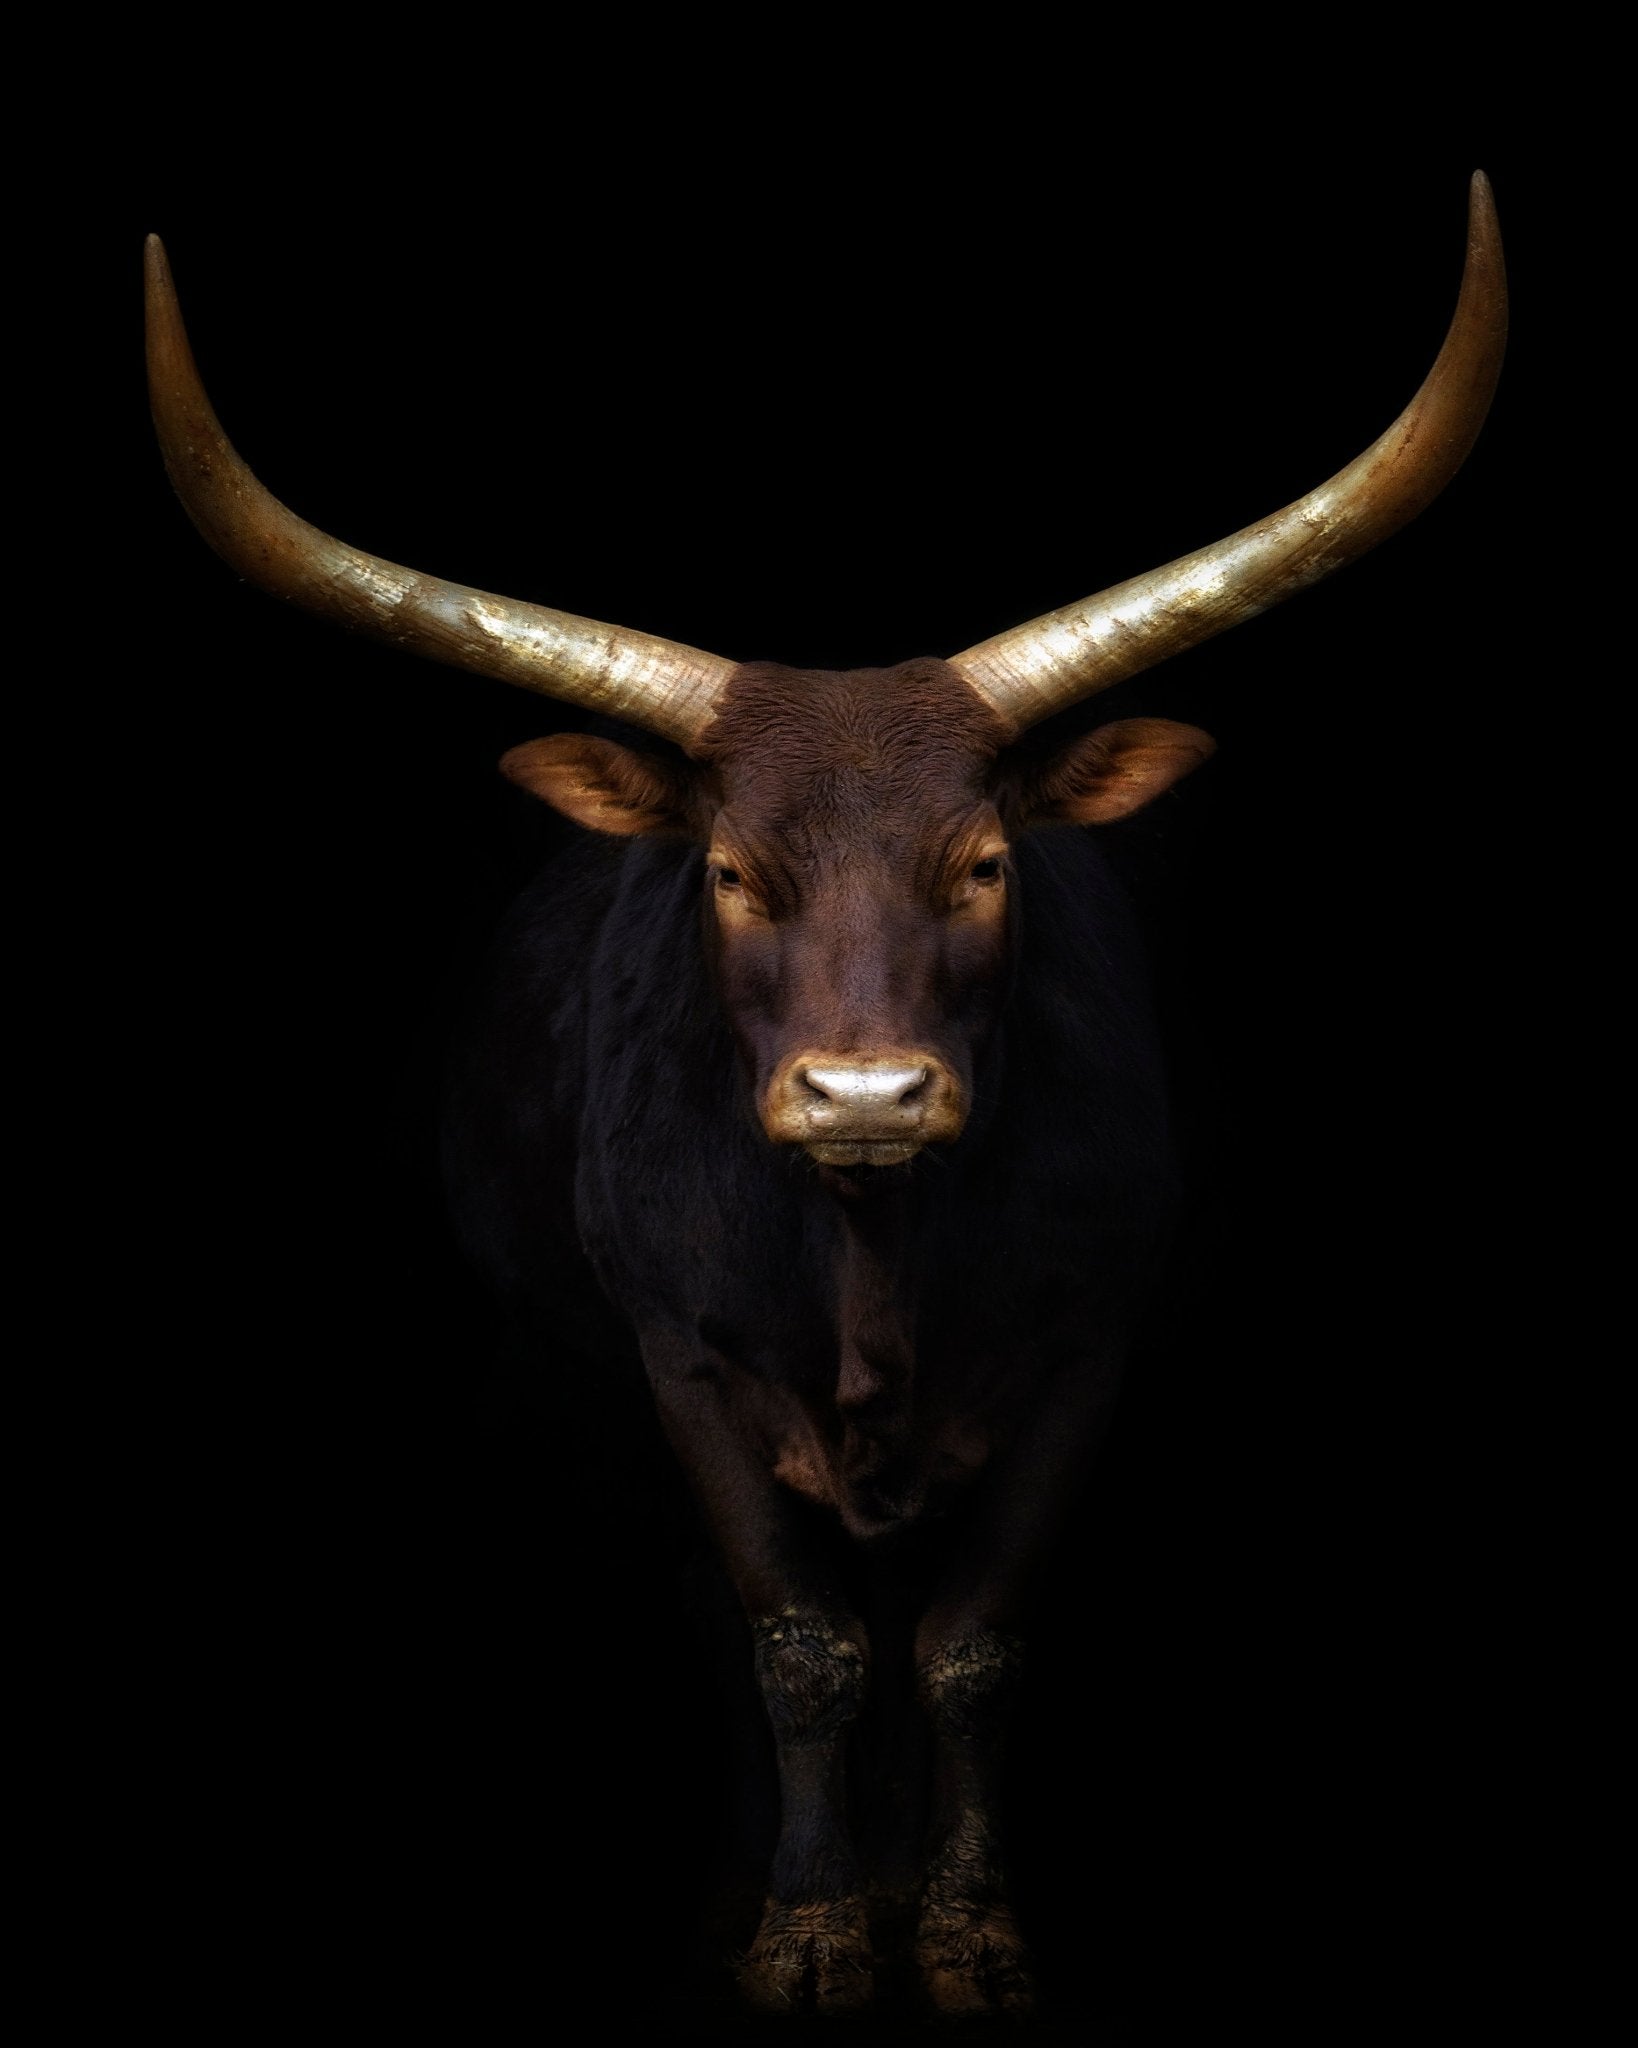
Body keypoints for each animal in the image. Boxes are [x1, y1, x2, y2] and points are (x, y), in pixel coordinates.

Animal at [146, 175, 1506, 2020]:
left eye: (987, 860)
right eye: (728, 871)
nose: (865, 1092)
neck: (873, 1265)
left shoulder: (1084, 1351)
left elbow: (969, 1646)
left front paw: (962, 1928)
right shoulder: (683, 1362)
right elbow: (797, 1646)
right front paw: (805, 1927)